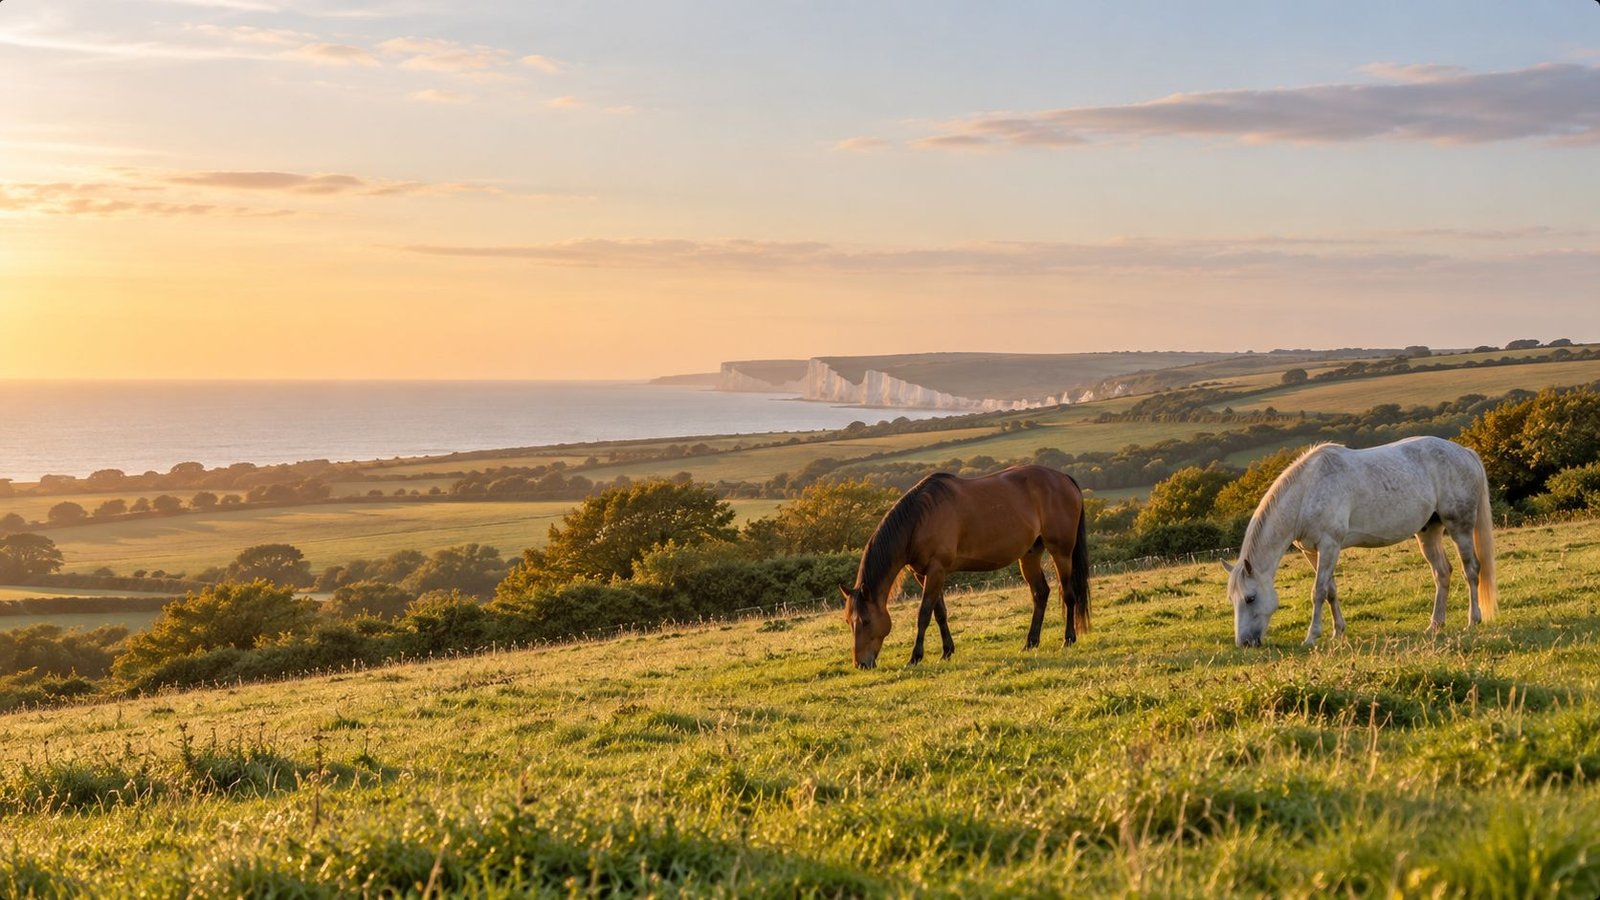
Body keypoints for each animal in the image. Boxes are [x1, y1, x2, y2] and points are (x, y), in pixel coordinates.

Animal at [838, 465, 1089, 669]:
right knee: (1040, 593)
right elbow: (939, 613)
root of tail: (1064, 478)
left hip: (1061, 552)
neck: (919, 519)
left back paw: (1068, 639)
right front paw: (947, 651)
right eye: (848, 621)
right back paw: (1030, 642)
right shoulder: (923, 574)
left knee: (1068, 595)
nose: (860, 664)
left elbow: (924, 613)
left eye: (865, 621)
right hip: (1030, 555)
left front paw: (915, 657)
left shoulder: (936, 570)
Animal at [1224, 436, 1498, 647]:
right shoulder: (1312, 551)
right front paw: (1338, 631)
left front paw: (1312, 636)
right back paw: (1435, 625)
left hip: (1459, 527)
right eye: (1232, 599)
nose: (1245, 643)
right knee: (1442, 573)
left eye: (1250, 598)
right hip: (1428, 532)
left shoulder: (1329, 545)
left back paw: (1473, 620)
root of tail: (1465, 452)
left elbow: (1318, 591)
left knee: (1471, 570)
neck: (1306, 492)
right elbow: (1331, 591)